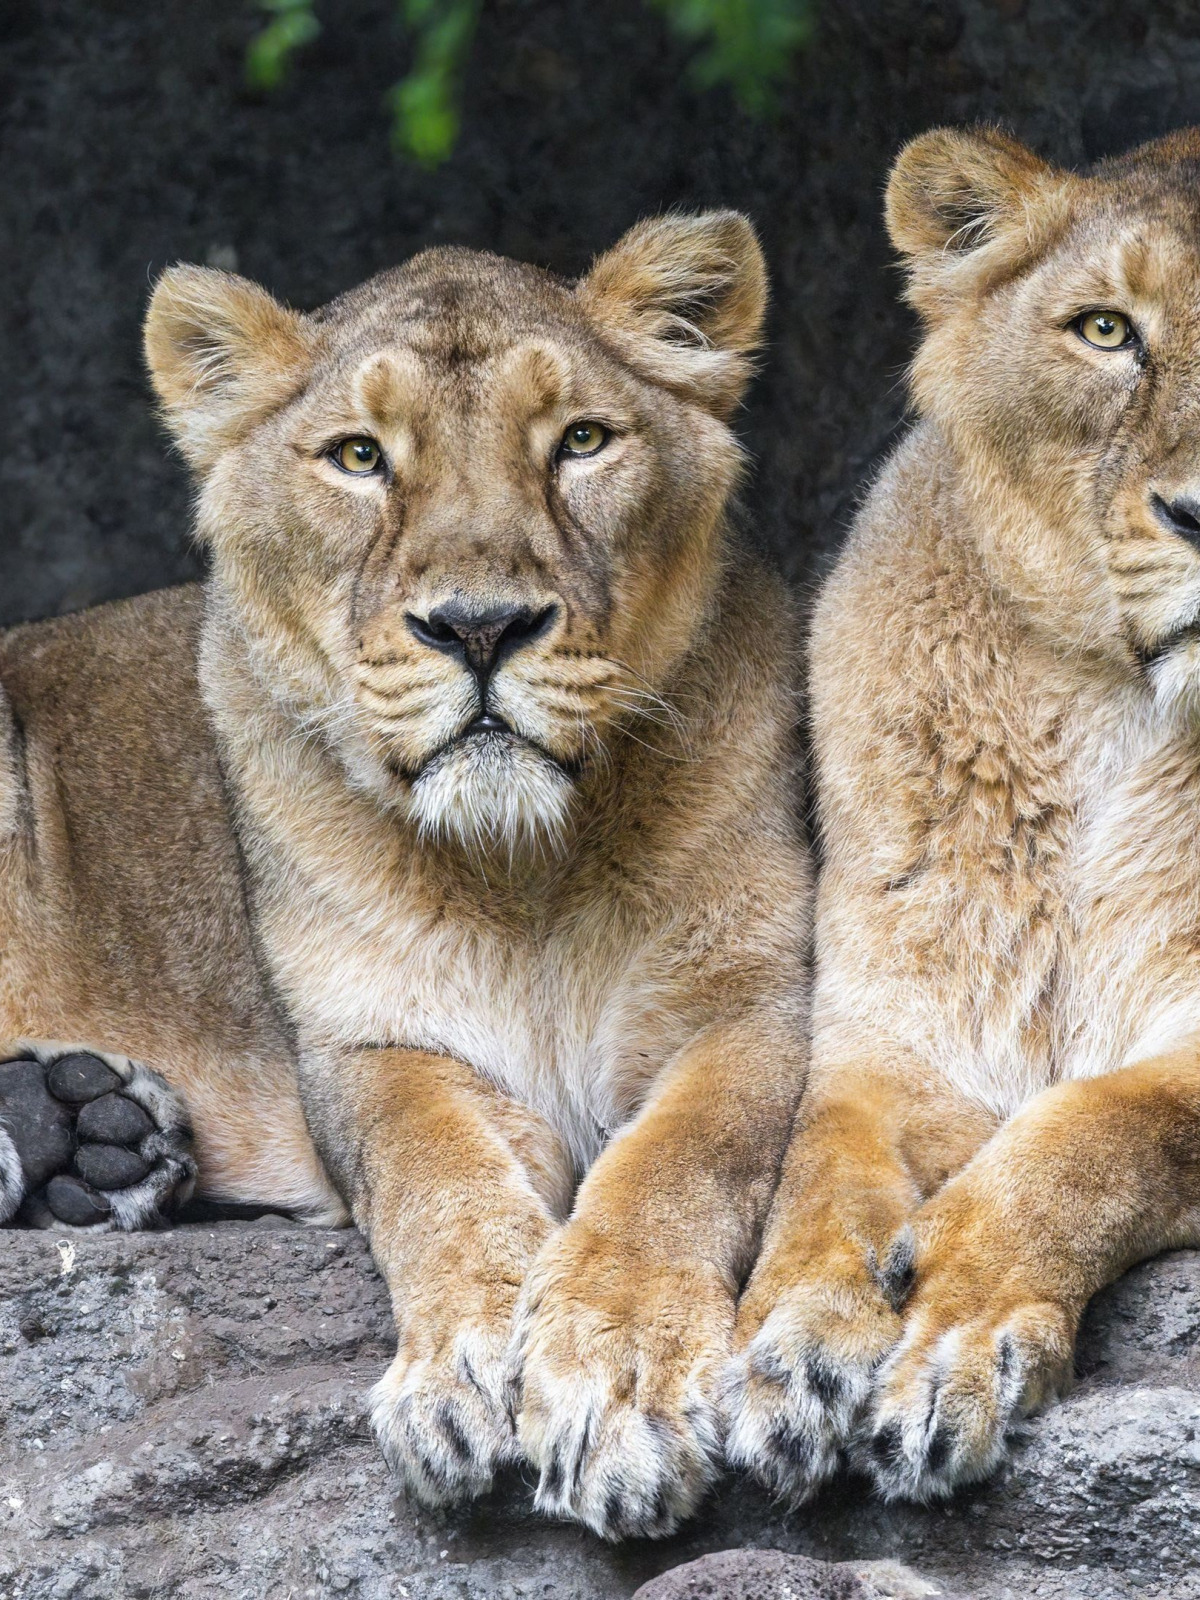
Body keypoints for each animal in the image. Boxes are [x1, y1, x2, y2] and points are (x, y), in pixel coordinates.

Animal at [0, 214, 810, 1539]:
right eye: (359, 456)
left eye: (581, 440)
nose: (481, 627)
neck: (527, 869)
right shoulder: (374, 1043)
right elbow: (439, 1181)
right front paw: (471, 1364)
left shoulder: (761, 1004)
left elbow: (677, 1169)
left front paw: (616, 1376)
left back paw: (83, 1137)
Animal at [722, 126, 1200, 1505]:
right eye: (1106, 330)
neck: (1115, 716)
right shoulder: (897, 1033)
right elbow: (819, 1174)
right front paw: (793, 1346)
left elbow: (1102, 1127)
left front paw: (955, 1325)